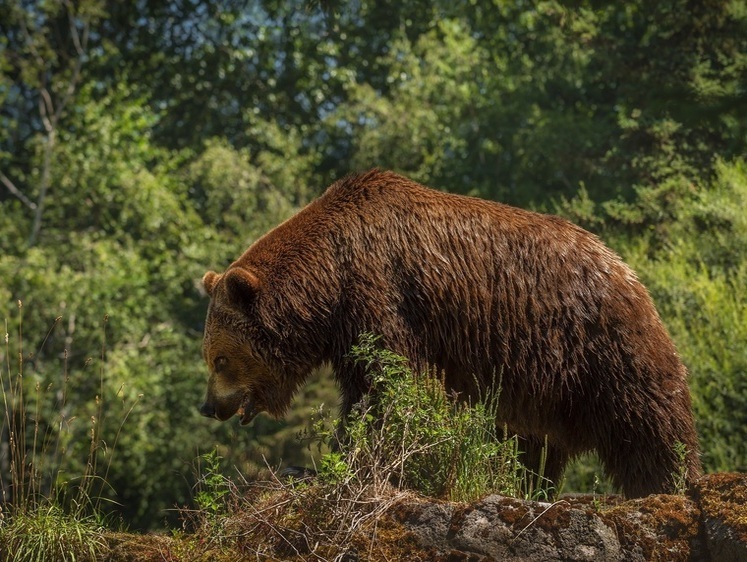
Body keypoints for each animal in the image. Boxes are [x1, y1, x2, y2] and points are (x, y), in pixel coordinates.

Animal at [197, 167, 700, 494]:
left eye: (220, 358)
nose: (209, 406)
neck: (330, 279)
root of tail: (625, 269)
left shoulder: (380, 294)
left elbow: (385, 383)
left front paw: (340, 461)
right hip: (540, 382)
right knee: (531, 445)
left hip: (598, 343)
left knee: (648, 420)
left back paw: (672, 483)